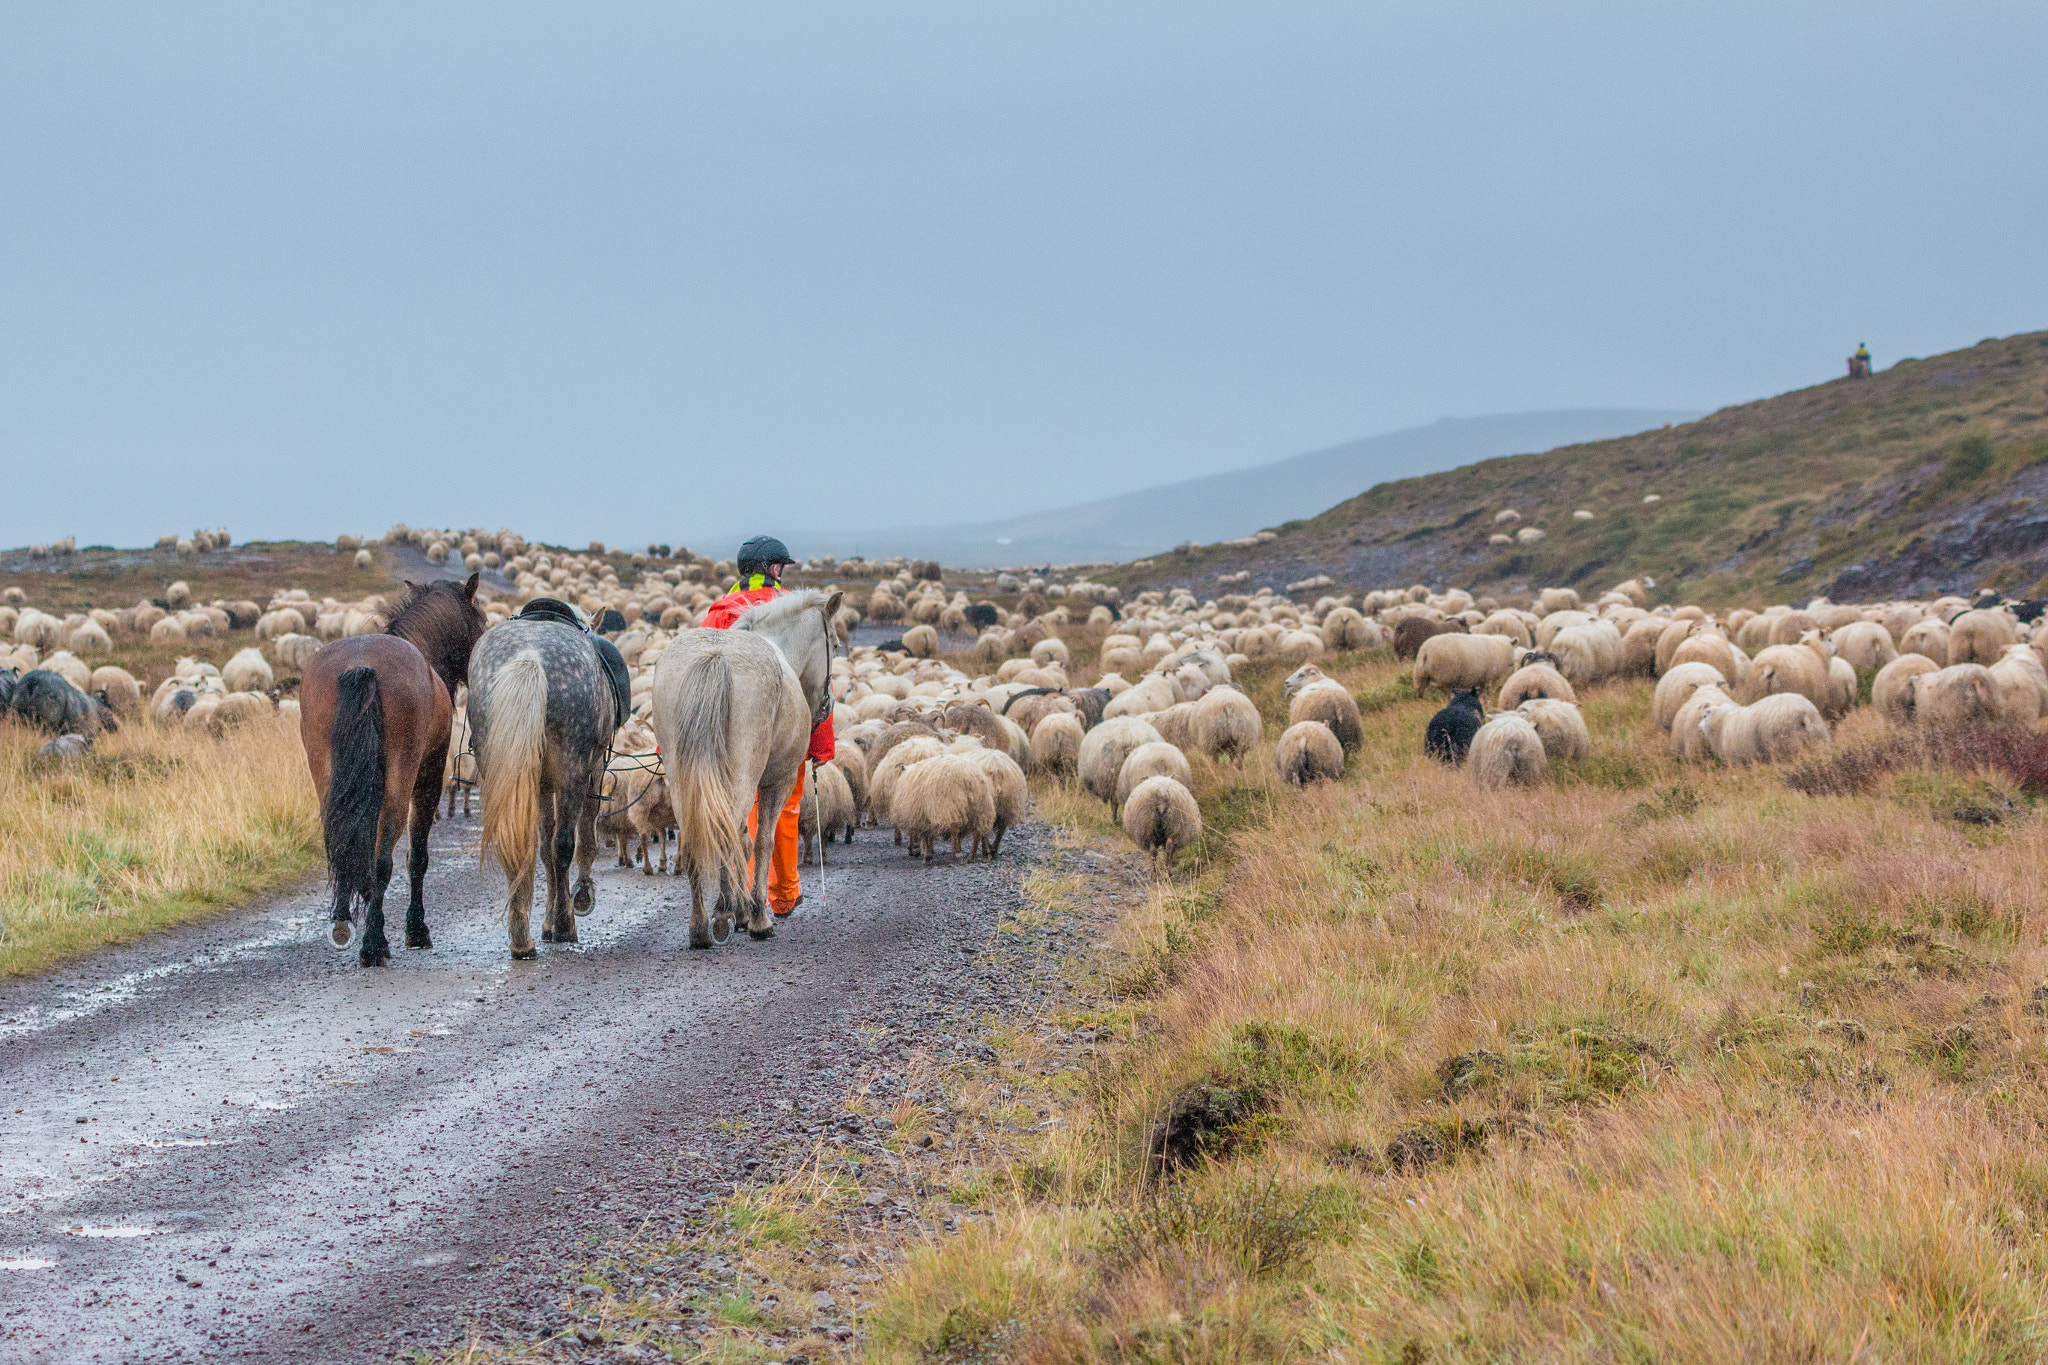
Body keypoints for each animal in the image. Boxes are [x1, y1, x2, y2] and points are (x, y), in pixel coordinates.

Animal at [299, 573, 487, 965]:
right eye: (482, 620)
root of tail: (360, 666)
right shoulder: (429, 779)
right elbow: (417, 857)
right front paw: (415, 928)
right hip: (399, 784)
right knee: (383, 857)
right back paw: (374, 943)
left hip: (328, 779)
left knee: (340, 839)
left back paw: (345, 924)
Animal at [659, 589, 843, 949]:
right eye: (836, 644)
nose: (825, 706)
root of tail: (715, 656)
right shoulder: (777, 783)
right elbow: (762, 843)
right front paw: (753, 913)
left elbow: (742, 841)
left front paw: (735, 907)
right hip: (745, 778)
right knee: (727, 831)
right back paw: (737, 918)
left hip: (684, 780)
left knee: (699, 835)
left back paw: (700, 926)